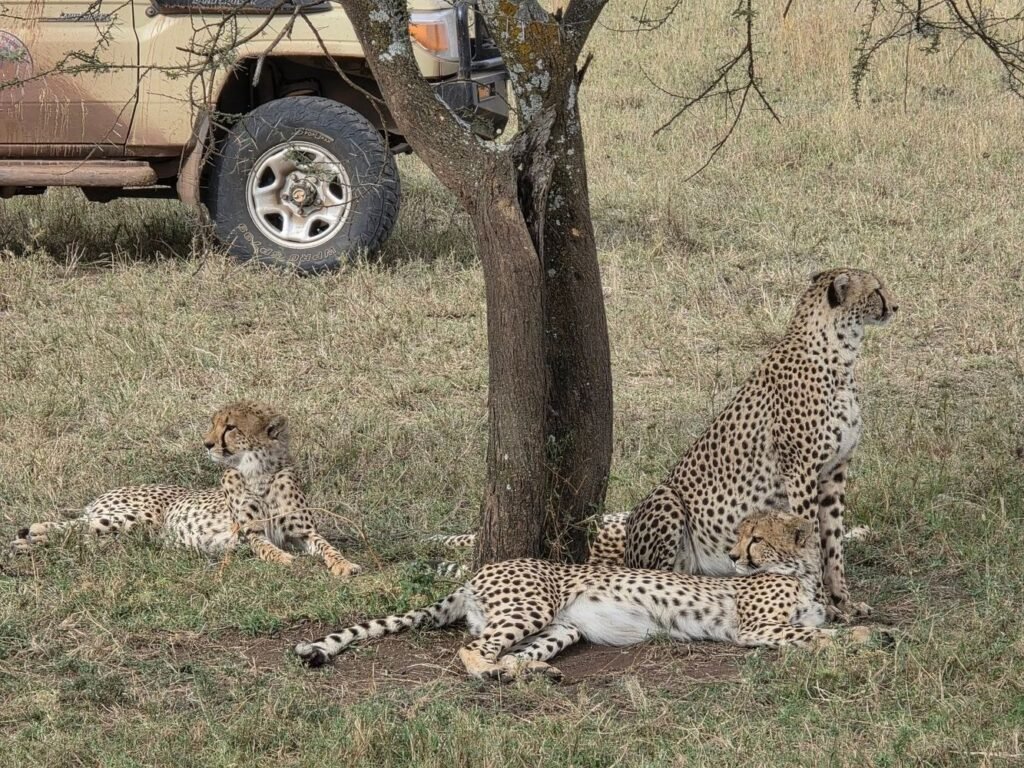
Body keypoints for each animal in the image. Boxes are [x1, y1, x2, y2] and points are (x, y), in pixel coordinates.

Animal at [9, 401, 361, 577]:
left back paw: (30, 540)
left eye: (230, 427)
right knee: (73, 527)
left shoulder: (303, 532)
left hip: (130, 535)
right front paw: (286, 560)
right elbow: (267, 548)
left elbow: (328, 547)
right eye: (214, 423)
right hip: (133, 519)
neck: (258, 472)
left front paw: (344, 565)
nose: (206, 443)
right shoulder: (250, 533)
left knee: (81, 537)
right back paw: (30, 537)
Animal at [295, 510, 874, 681]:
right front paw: (868, 638)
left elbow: (822, 628)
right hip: (531, 606)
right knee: (471, 650)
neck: (802, 571)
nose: (733, 554)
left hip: (564, 627)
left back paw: (531, 672)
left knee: (511, 653)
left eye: (755, 538)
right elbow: (816, 634)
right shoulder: (757, 628)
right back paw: (493, 675)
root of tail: (481, 570)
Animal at [605, 268, 897, 621]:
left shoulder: (834, 472)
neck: (839, 355)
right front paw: (825, 603)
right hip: (666, 498)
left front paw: (843, 600)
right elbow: (812, 537)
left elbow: (833, 542)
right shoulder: (800, 471)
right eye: (877, 291)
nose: (895, 306)